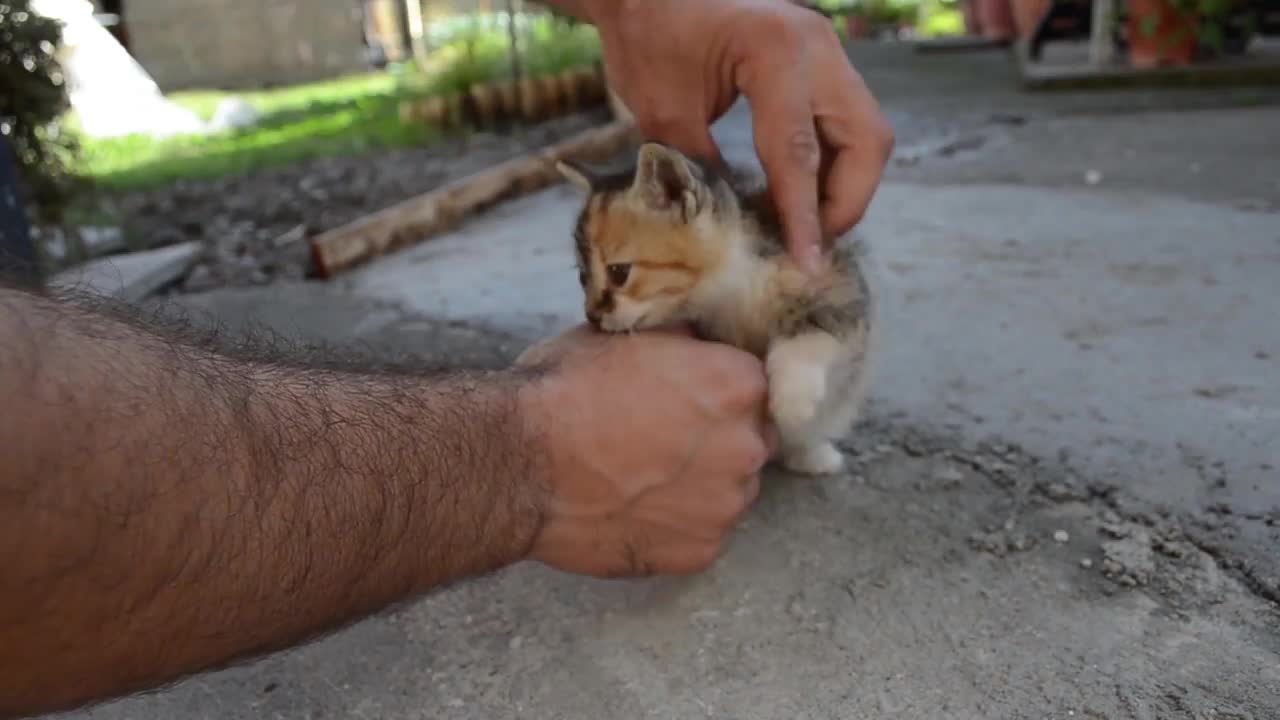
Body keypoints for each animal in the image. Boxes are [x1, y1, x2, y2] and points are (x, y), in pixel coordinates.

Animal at [555, 142, 875, 474]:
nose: (592, 316)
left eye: (619, 272)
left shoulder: (838, 283)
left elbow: (818, 329)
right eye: (582, 277)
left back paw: (812, 454)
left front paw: (793, 400)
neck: (733, 288)